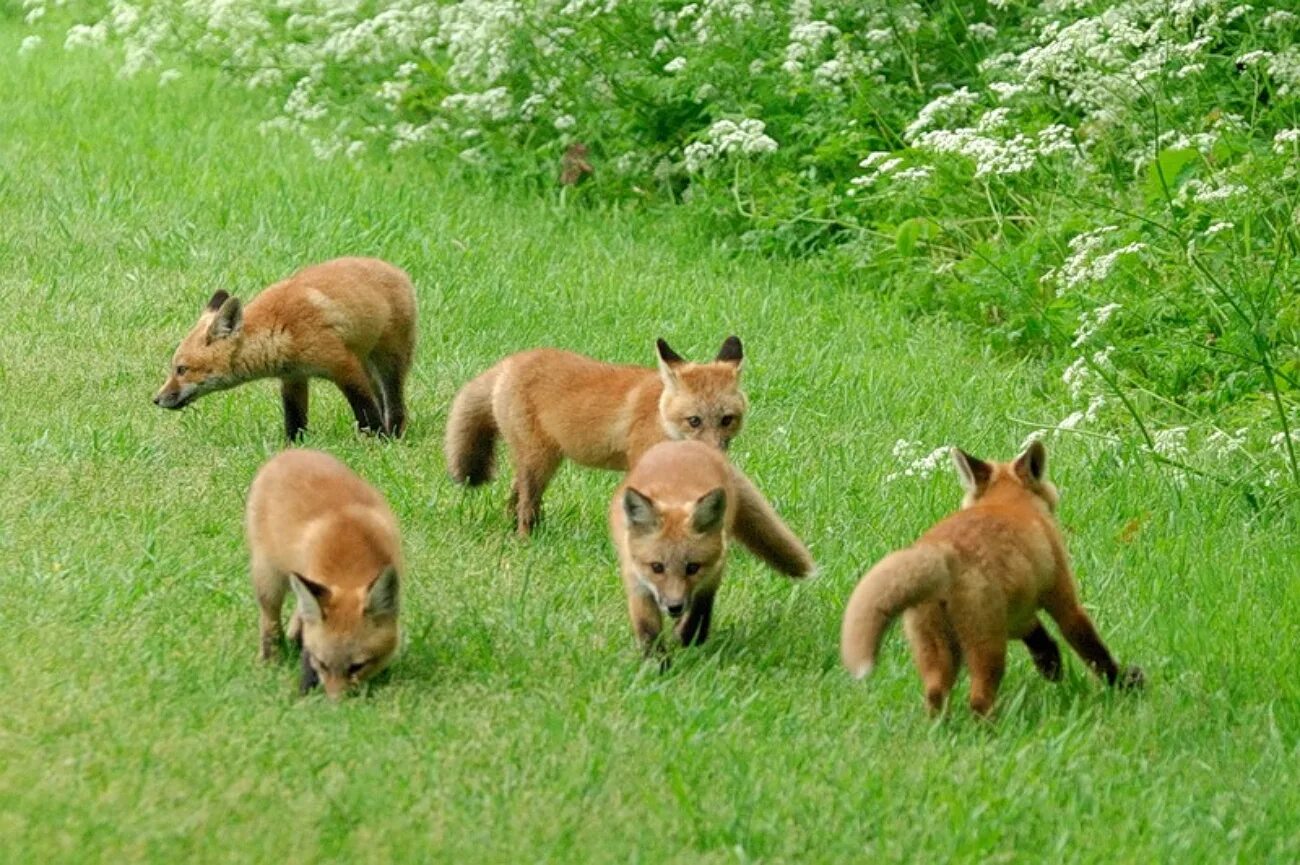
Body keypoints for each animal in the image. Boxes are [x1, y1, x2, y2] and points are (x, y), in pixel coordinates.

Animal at [151, 256, 416, 439]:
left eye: (181, 369)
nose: (156, 399)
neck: (279, 329)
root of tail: (399, 271)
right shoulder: (293, 378)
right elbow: (294, 421)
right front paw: (292, 449)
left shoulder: (344, 366)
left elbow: (366, 410)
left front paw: (376, 441)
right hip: (367, 364)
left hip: (389, 363)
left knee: (395, 406)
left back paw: (393, 435)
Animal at [245, 447, 400, 697]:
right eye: (322, 664)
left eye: (357, 666)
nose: (335, 702)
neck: (350, 558)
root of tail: (292, 452)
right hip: (268, 578)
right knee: (270, 622)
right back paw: (271, 659)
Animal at [447, 338, 811, 580]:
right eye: (694, 421)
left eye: (727, 420)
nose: (714, 454)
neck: (661, 417)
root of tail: (511, 361)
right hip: (540, 462)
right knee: (525, 505)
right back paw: (525, 541)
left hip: (539, 463)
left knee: (514, 499)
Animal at [608, 439, 811, 655]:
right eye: (657, 567)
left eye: (692, 567)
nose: (674, 607)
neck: (674, 497)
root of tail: (686, 442)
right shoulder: (636, 582)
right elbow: (649, 634)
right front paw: (658, 662)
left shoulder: (712, 574)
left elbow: (699, 613)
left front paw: (690, 646)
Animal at [837, 439, 1144, 712]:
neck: (1008, 502)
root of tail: (940, 554)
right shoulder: (1062, 599)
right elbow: (1093, 650)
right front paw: (1123, 683)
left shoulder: (1017, 610)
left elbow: (1036, 634)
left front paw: (1050, 664)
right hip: (987, 645)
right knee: (979, 697)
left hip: (936, 646)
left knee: (935, 693)